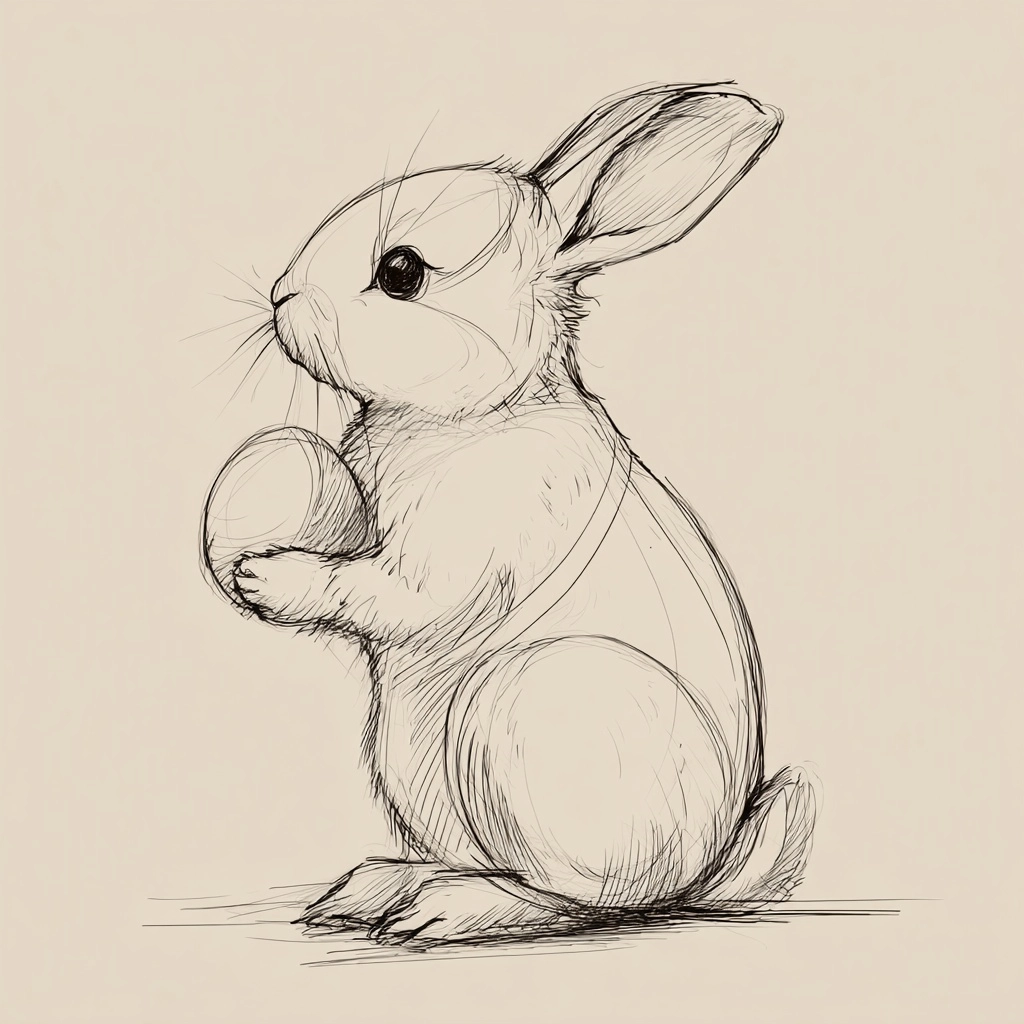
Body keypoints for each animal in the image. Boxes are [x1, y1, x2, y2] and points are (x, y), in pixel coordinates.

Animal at [206, 81, 818, 946]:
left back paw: (444, 910)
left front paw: (266, 578)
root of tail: (704, 870)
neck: (479, 410)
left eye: (401, 272)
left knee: (578, 899)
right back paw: (372, 890)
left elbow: (386, 594)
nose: (282, 297)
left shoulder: (460, 554)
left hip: (531, 710)